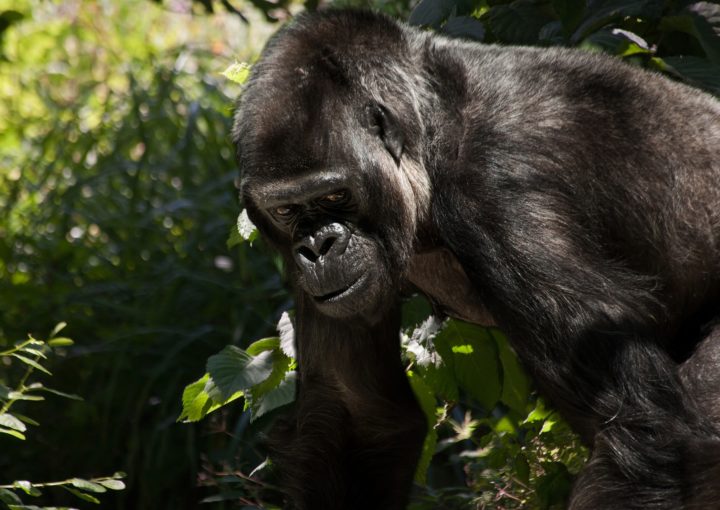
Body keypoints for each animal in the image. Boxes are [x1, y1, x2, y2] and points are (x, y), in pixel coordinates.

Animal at [232, 7, 720, 510]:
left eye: (334, 195)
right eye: (286, 210)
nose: (316, 249)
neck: (429, 132)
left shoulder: (494, 187)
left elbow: (643, 430)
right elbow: (358, 415)